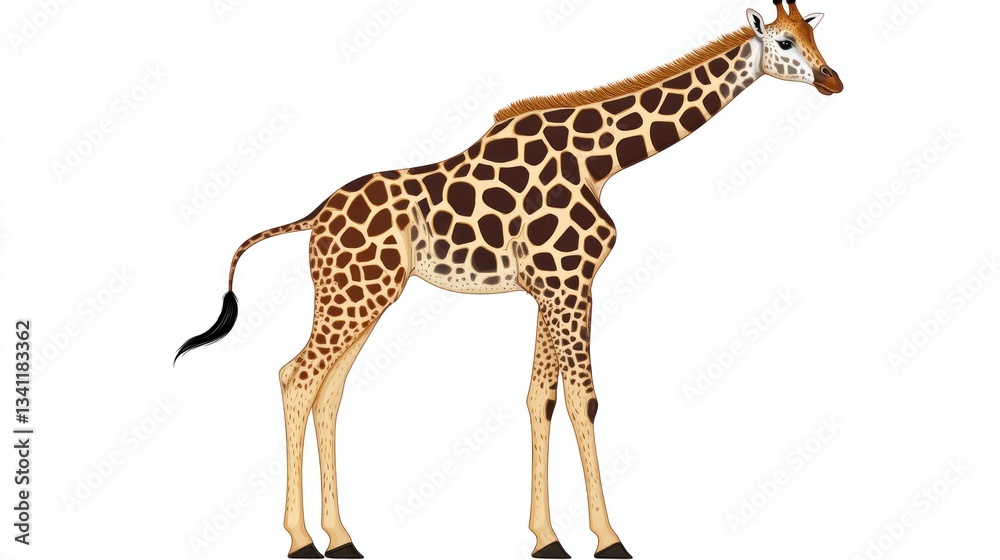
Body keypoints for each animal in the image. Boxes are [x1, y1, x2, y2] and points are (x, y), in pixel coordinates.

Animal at [176, 1, 842, 558]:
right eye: (785, 40)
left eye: (816, 34)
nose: (832, 80)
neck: (602, 161)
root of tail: (314, 218)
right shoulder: (570, 282)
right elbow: (580, 399)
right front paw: (604, 540)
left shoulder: (555, 288)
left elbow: (540, 397)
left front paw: (551, 537)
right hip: (354, 293)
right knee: (296, 376)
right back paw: (300, 542)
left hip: (365, 295)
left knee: (327, 389)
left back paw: (341, 538)